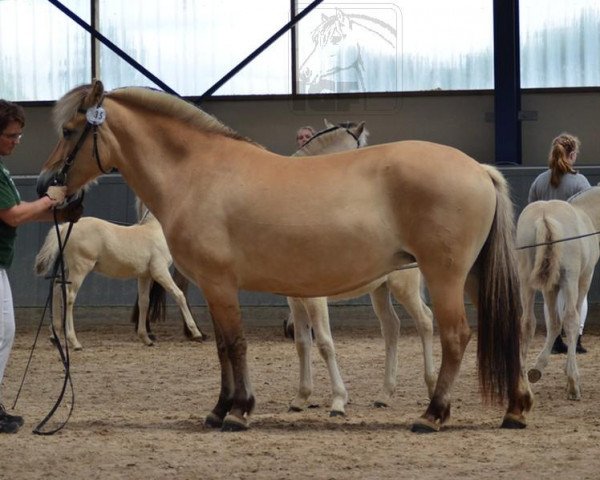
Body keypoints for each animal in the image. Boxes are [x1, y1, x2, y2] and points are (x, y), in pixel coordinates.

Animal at [35, 201, 204, 350]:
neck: (154, 229)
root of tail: (64, 228)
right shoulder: (160, 271)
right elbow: (179, 295)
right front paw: (196, 333)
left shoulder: (144, 275)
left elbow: (144, 302)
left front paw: (146, 338)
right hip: (79, 269)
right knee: (69, 296)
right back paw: (74, 342)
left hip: (67, 269)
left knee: (56, 288)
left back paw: (55, 336)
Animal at [288, 119, 436, 412]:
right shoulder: (294, 299)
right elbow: (302, 343)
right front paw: (301, 397)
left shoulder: (314, 298)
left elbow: (324, 343)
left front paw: (338, 400)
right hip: (379, 289)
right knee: (391, 328)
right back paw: (384, 394)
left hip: (403, 287)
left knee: (425, 320)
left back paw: (431, 386)